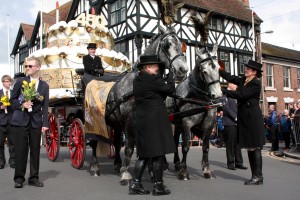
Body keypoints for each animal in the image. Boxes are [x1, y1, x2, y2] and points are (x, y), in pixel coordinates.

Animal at [88, 25, 189, 184]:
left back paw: (117, 165)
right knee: (93, 141)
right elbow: (129, 147)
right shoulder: (130, 120)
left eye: (181, 45)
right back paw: (95, 167)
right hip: (93, 121)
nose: (182, 70)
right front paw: (126, 174)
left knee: (116, 143)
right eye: (167, 45)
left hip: (115, 122)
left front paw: (152, 173)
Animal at [166, 43, 223, 180]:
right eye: (205, 72)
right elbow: (185, 147)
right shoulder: (187, 123)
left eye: (219, 68)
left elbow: (206, 147)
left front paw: (206, 169)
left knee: (175, 140)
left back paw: (177, 163)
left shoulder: (209, 125)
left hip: (178, 124)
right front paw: (184, 172)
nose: (217, 95)